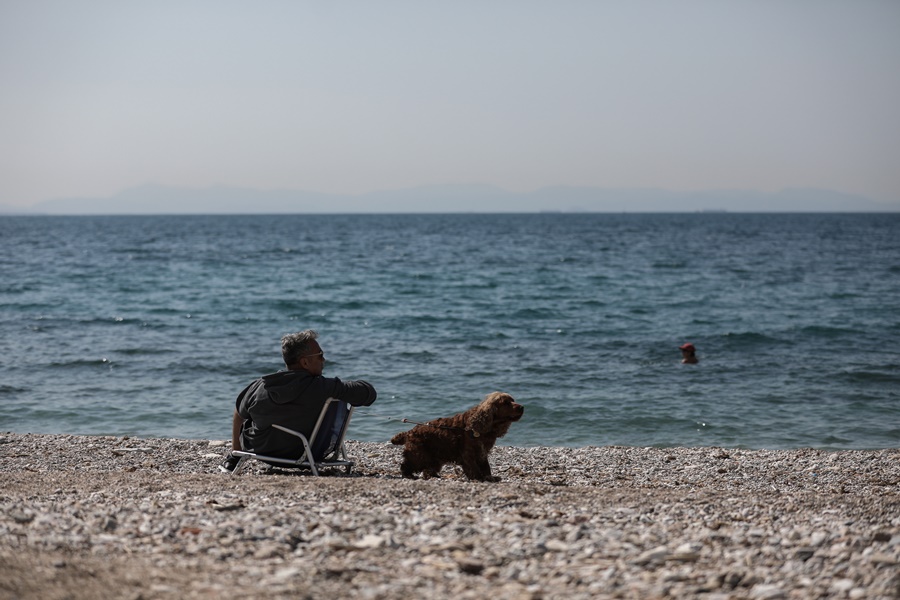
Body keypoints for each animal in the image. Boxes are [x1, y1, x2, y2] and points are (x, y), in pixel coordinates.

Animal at [390, 392, 524, 480]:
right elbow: (473, 467)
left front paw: (489, 477)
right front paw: (479, 478)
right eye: (506, 403)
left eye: (513, 400)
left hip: (435, 457)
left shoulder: (481, 453)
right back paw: (409, 475)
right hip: (419, 454)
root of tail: (409, 432)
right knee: (406, 465)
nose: (522, 407)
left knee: (428, 470)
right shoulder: (469, 453)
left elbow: (486, 466)